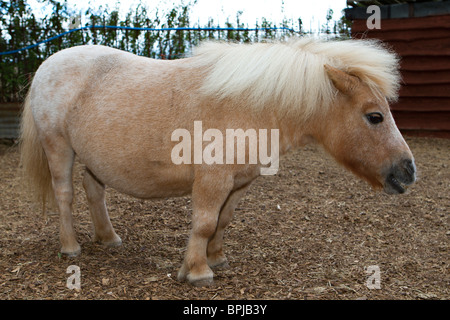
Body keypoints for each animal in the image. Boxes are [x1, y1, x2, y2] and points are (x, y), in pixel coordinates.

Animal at [19, 37, 416, 284]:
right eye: (375, 116)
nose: (408, 171)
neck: (253, 107)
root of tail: (47, 65)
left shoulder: (239, 183)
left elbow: (222, 221)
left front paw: (217, 258)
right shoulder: (212, 180)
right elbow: (205, 222)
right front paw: (197, 271)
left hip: (94, 159)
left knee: (93, 189)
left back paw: (108, 237)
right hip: (59, 148)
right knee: (65, 195)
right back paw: (70, 246)